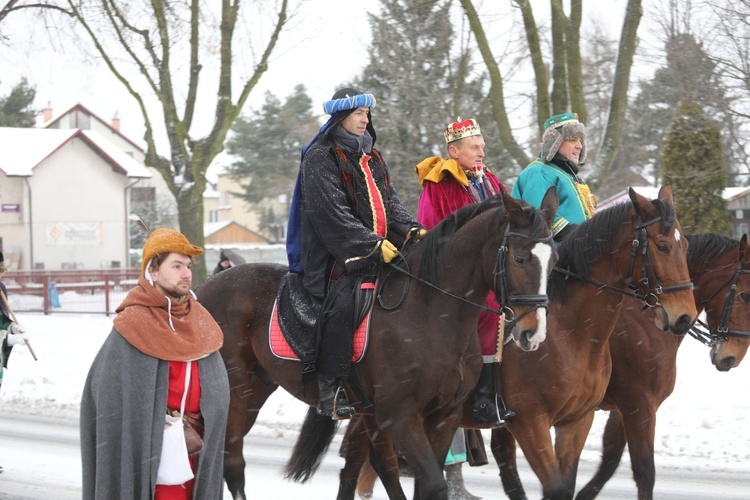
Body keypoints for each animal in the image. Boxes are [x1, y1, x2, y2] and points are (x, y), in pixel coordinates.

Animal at [197, 191, 560, 500]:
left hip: (260, 391)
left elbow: (422, 483)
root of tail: (201, 290)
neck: (432, 311)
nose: (533, 333)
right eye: (521, 259)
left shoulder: (443, 416)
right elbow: (433, 483)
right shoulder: (400, 415)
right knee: (230, 461)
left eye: (554, 259)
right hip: (236, 393)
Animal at [336, 184, 700, 500]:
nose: (684, 316)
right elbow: (570, 483)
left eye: (684, 247)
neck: (575, 335)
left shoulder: (579, 420)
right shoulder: (535, 422)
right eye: (662, 246)